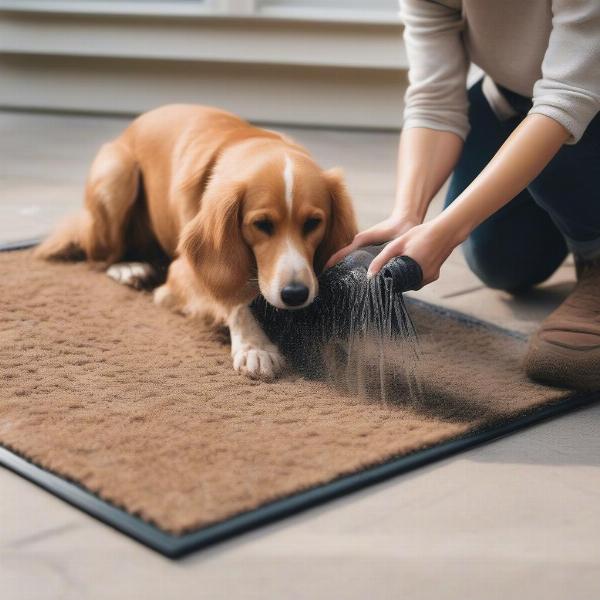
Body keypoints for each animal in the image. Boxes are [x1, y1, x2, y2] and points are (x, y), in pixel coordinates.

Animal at [35, 105, 356, 380]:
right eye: (262, 224)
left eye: (313, 223)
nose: (295, 294)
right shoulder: (183, 271)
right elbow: (234, 297)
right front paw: (255, 346)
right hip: (117, 176)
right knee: (99, 256)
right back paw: (128, 266)